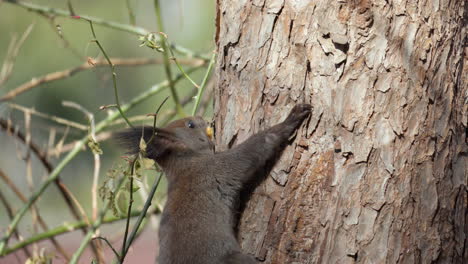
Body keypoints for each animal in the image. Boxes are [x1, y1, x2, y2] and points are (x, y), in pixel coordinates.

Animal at [115, 104, 312, 262]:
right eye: (190, 125)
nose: (202, 118)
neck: (185, 162)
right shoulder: (217, 168)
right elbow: (257, 147)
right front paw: (292, 118)